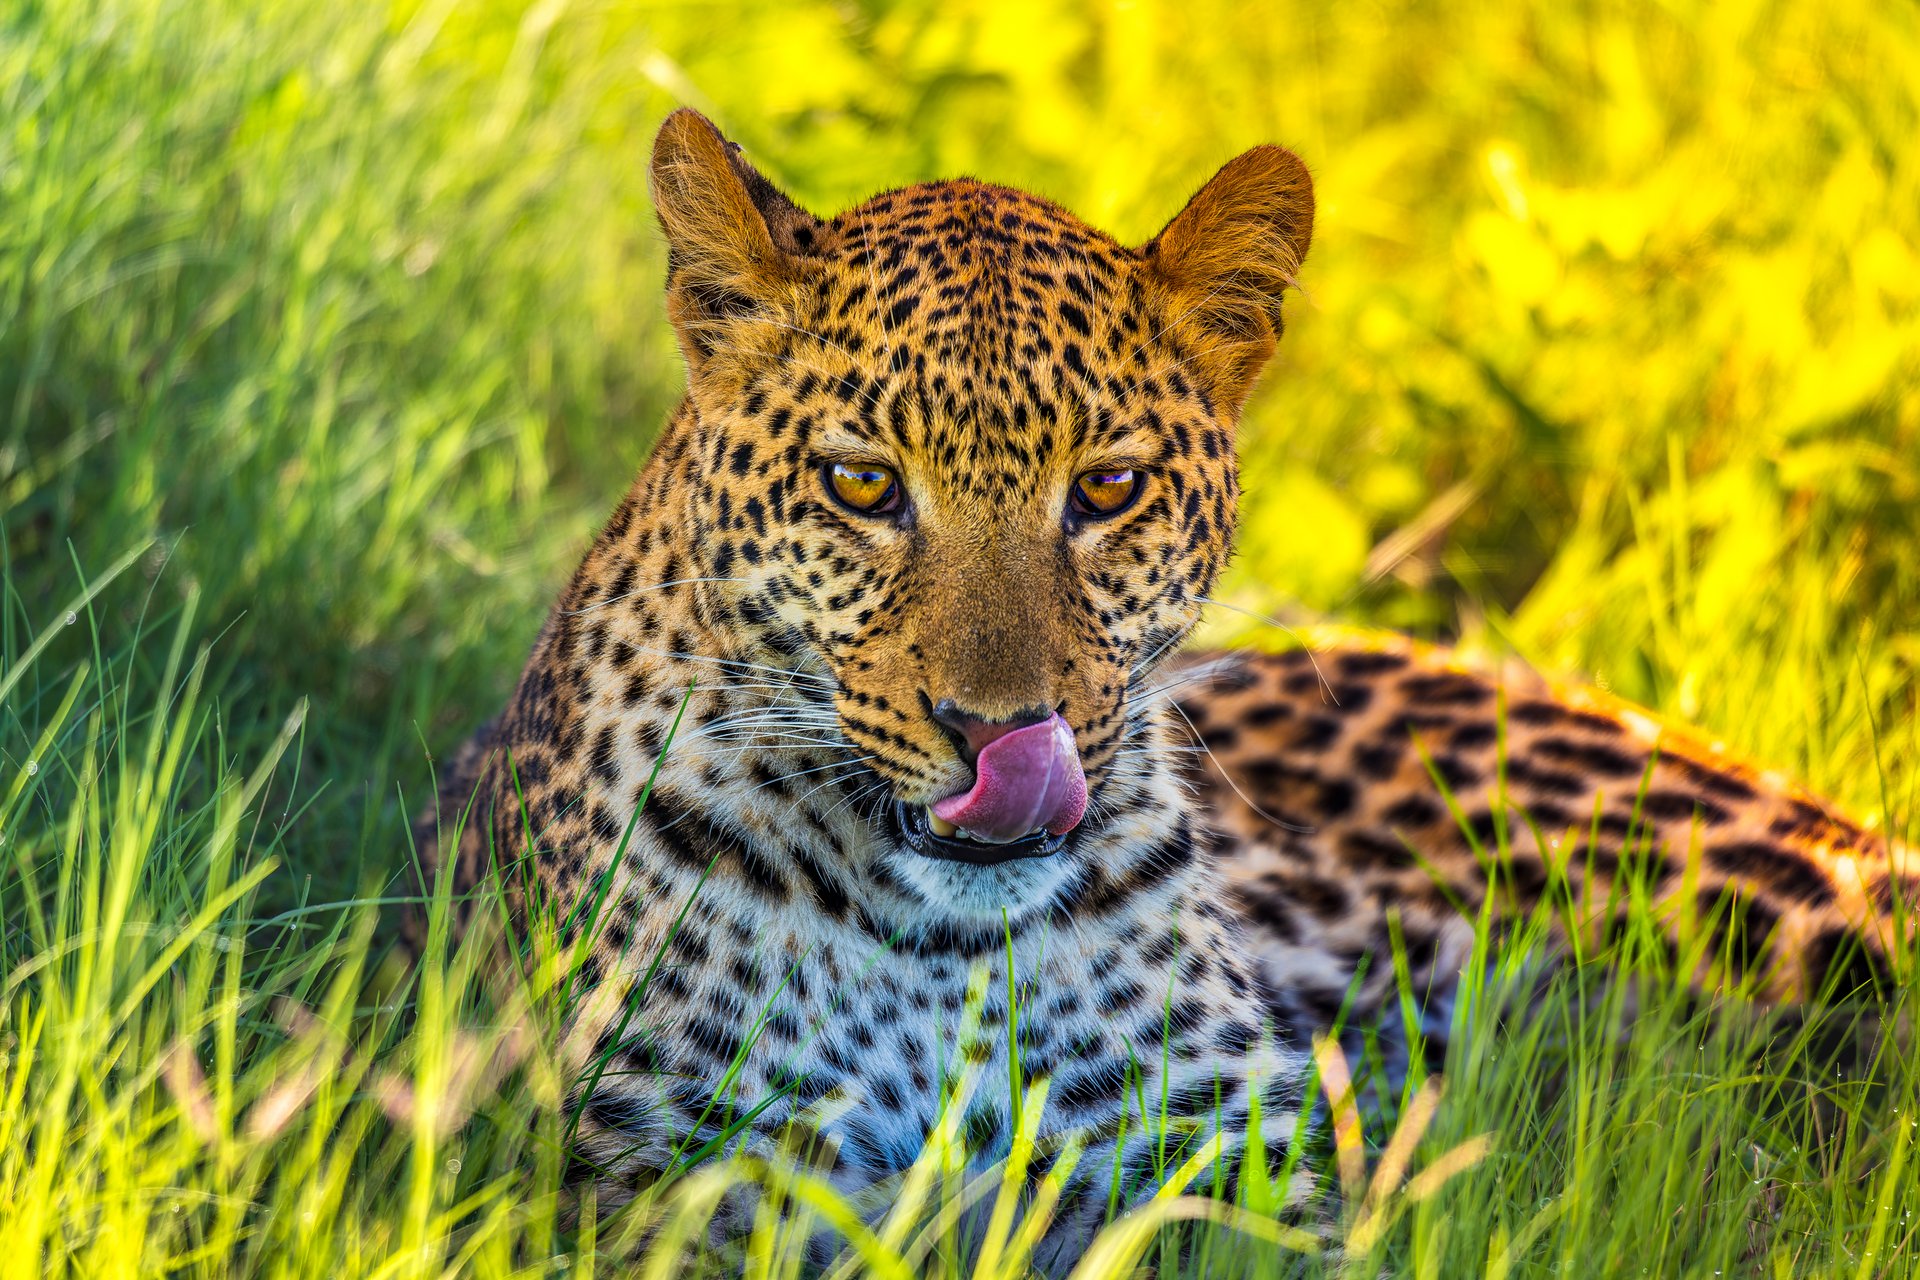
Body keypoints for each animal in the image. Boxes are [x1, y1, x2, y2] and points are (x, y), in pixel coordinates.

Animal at [411, 107, 1914, 1246]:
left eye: (1110, 489)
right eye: (862, 485)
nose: (997, 734)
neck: (944, 948)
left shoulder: (1237, 1171)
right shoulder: (684, 1179)